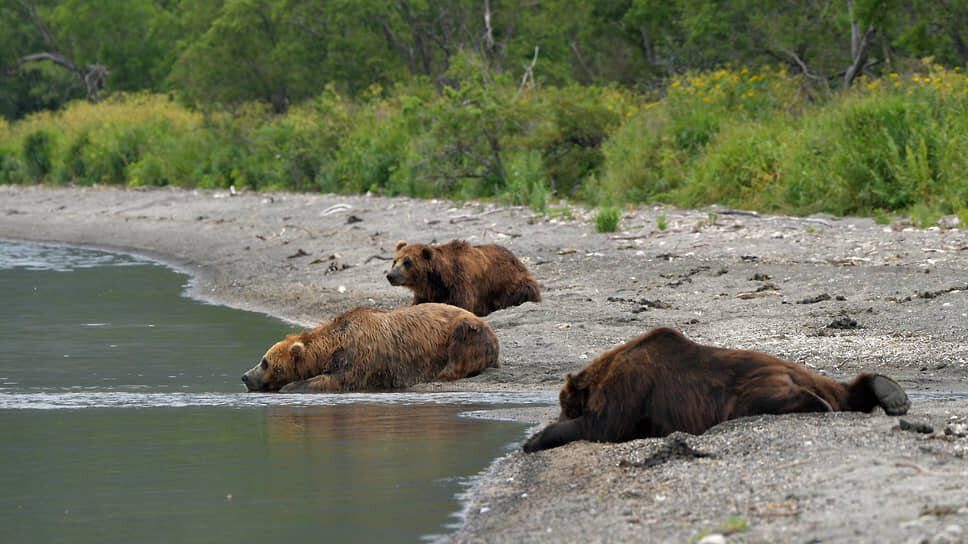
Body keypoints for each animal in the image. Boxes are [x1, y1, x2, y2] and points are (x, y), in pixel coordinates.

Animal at [241, 304, 500, 394]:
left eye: (265, 362)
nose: (245, 376)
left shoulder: (360, 354)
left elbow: (337, 379)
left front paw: (291, 386)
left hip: (468, 333)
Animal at [386, 239, 540, 318]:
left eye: (407, 262)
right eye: (395, 261)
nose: (390, 276)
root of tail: (516, 258)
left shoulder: (462, 281)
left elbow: (460, 304)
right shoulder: (428, 291)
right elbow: (418, 304)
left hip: (516, 283)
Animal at [520, 330, 908, 452]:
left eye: (565, 404)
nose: (558, 411)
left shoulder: (631, 385)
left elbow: (603, 424)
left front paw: (535, 439)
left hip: (745, 389)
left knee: (754, 401)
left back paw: (816, 404)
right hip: (812, 375)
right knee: (845, 391)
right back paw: (890, 393)